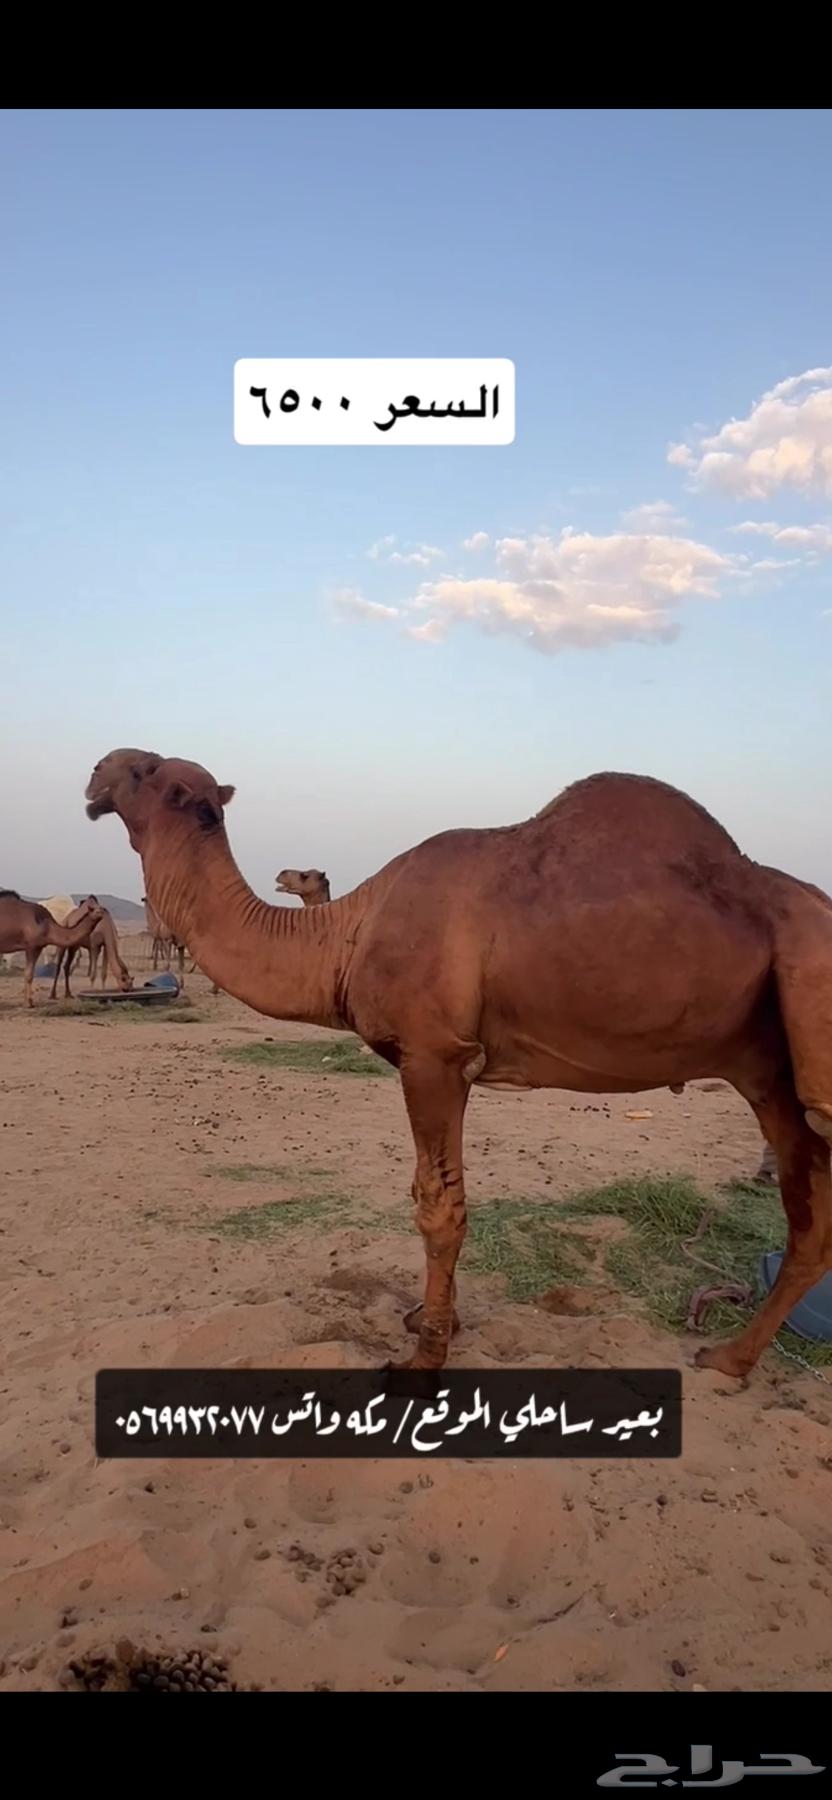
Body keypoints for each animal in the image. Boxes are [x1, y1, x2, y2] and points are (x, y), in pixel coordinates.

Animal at [85, 749, 832, 1382]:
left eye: (144, 770)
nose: (95, 773)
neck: (345, 936)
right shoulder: (454, 1063)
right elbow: (446, 1194)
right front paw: (433, 1318)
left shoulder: (433, 1057)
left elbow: (437, 1206)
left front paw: (423, 1357)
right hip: (768, 1077)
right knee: (810, 1223)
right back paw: (730, 1358)